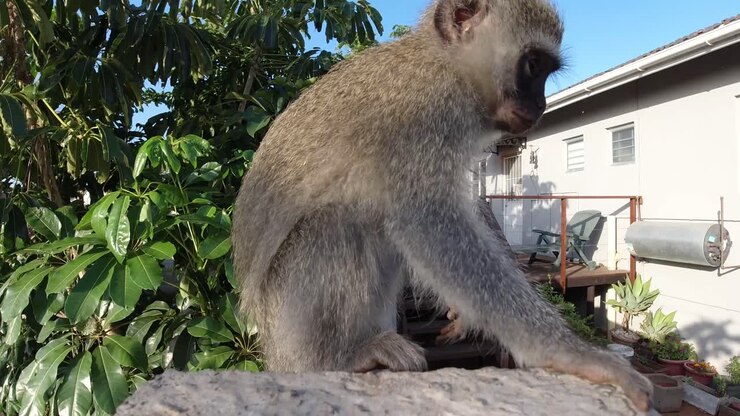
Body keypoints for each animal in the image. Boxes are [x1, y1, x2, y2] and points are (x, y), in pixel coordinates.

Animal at [232, 0, 652, 411]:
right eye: (533, 64)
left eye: (546, 70)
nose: (540, 104)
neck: (445, 63)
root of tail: (269, 344)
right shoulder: (426, 116)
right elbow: (429, 223)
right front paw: (571, 354)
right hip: (287, 328)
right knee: (338, 222)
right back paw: (338, 359)